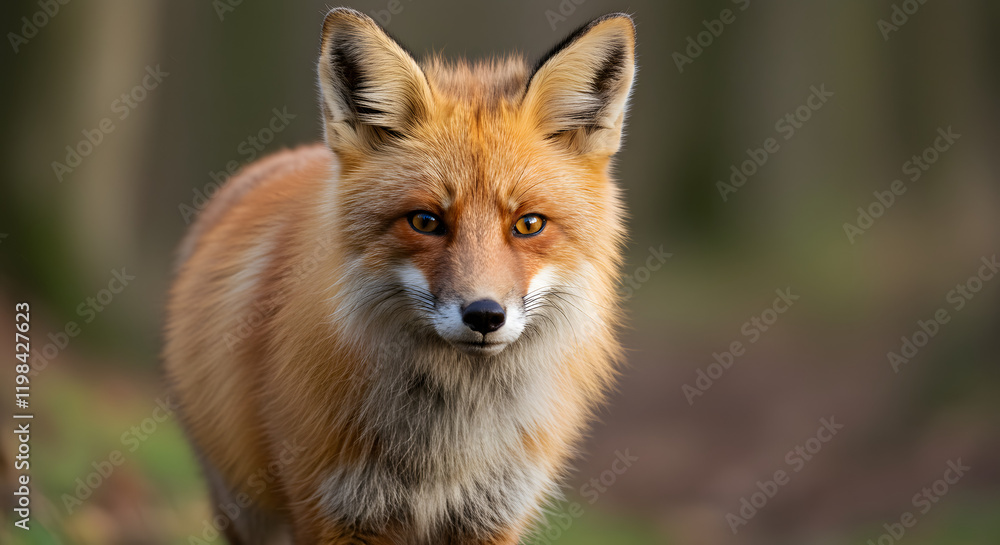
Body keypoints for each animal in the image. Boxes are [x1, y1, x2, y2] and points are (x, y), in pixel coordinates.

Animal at [164, 7, 635, 545]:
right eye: (425, 221)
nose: (485, 316)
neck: (446, 451)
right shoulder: (334, 512)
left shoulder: (491, 516)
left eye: (529, 224)